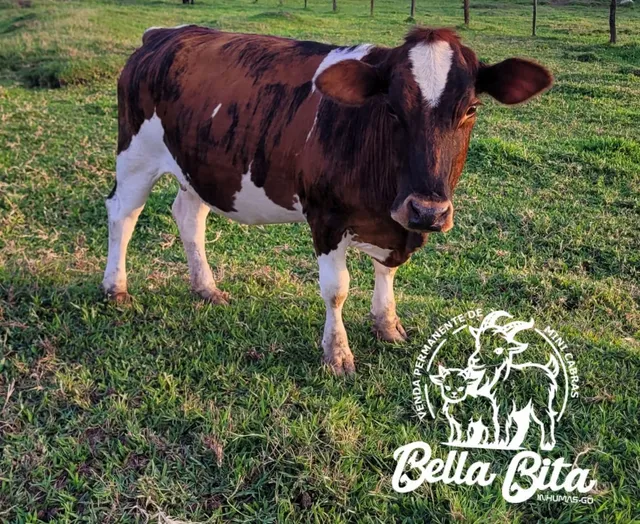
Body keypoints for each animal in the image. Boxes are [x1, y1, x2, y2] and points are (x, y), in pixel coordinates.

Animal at [103, 26, 552, 375]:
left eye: (471, 109)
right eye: (392, 108)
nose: (428, 211)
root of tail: (164, 33)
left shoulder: (394, 223)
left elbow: (387, 272)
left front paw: (387, 324)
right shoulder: (326, 216)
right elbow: (336, 289)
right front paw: (337, 354)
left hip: (198, 167)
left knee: (189, 216)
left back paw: (206, 288)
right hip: (136, 155)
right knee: (123, 214)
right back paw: (115, 288)